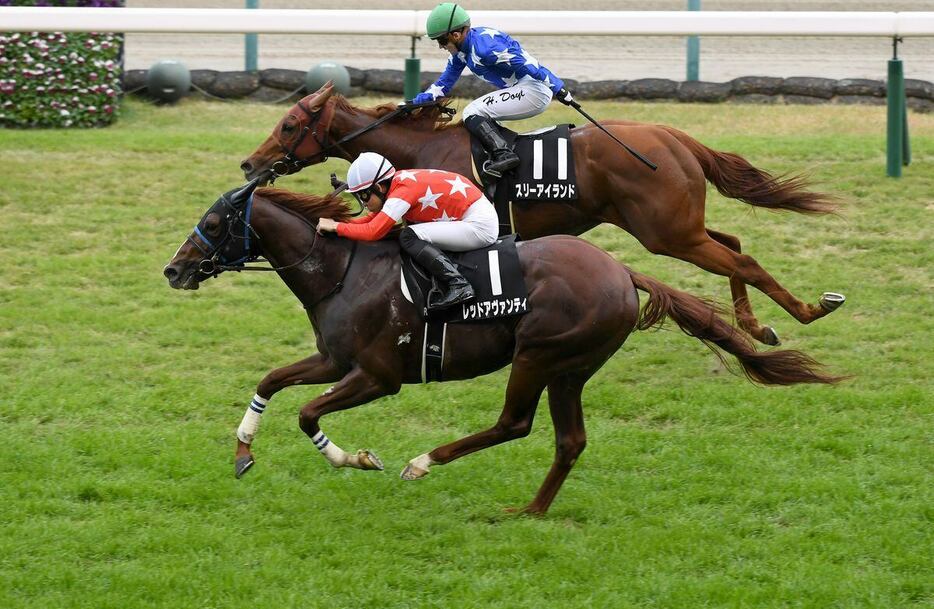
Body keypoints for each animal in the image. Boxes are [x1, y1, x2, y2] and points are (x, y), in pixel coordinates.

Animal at [165, 179, 844, 512]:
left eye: (217, 222)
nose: (174, 271)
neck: (341, 269)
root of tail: (621, 270)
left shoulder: (378, 375)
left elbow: (307, 412)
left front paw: (356, 458)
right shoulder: (335, 358)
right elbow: (270, 381)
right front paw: (243, 453)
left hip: (540, 354)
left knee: (515, 423)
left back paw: (424, 462)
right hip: (572, 367)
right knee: (569, 440)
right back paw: (531, 512)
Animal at [241, 84, 848, 346]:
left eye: (290, 125)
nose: (250, 163)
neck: (420, 151)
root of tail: (675, 136)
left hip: (667, 232)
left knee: (740, 262)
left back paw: (807, 310)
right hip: (676, 226)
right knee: (735, 245)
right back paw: (756, 324)